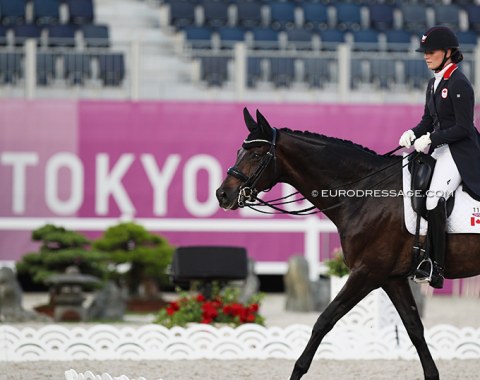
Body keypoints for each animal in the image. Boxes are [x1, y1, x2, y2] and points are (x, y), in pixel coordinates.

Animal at [216, 107, 480, 380]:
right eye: (239, 152)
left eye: (256, 154)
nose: (222, 195)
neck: (366, 192)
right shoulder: (392, 278)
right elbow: (414, 328)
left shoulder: (366, 273)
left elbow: (323, 321)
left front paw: (298, 370)